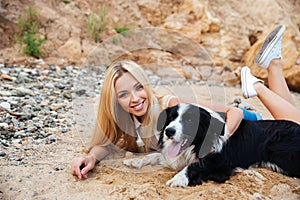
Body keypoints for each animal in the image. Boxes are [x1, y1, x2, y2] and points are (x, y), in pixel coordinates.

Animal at [123, 104, 298, 187]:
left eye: (190, 120)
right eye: (171, 117)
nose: (169, 131)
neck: (195, 144)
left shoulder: (221, 163)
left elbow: (195, 165)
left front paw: (178, 178)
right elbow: (156, 155)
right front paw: (135, 161)